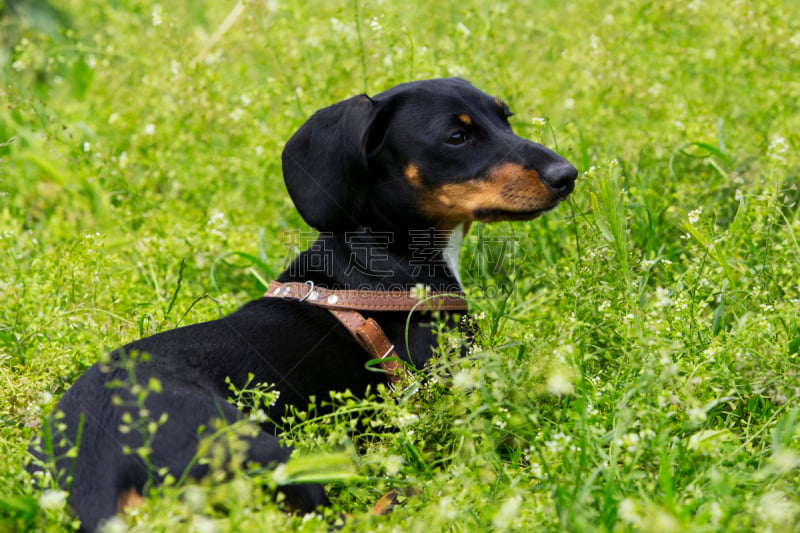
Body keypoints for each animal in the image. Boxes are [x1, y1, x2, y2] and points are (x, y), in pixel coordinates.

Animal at [25, 77, 576, 528]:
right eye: (457, 137)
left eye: (504, 116)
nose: (567, 174)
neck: (381, 258)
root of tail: (93, 474)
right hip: (266, 452)